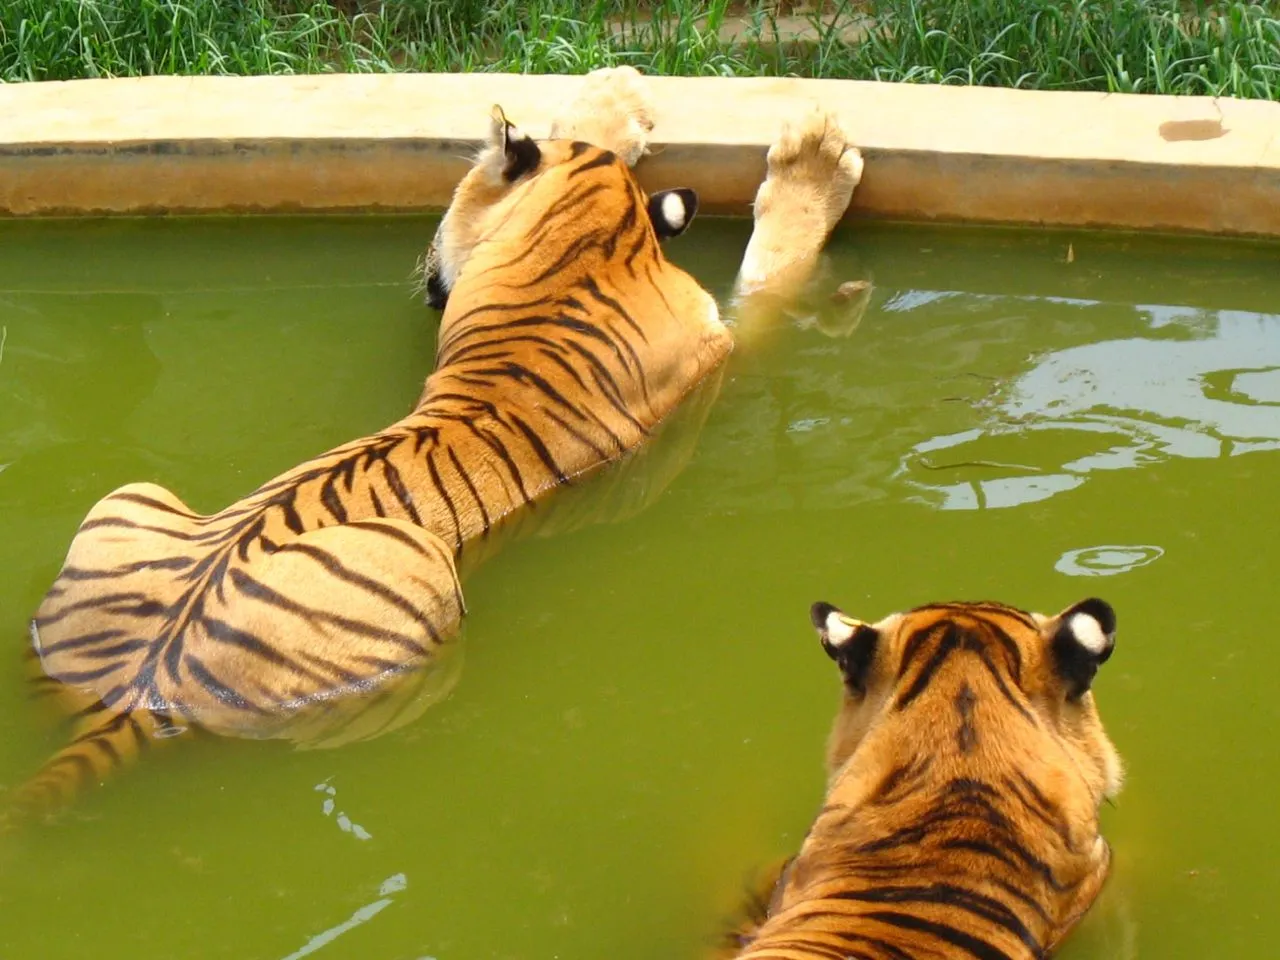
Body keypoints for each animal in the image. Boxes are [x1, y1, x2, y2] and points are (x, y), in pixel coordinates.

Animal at [12, 67, 866, 820]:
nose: (423, 270)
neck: (585, 242)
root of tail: (136, 692)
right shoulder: (722, 355)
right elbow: (773, 277)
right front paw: (818, 156)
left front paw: (615, 94)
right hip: (423, 572)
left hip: (129, 497)